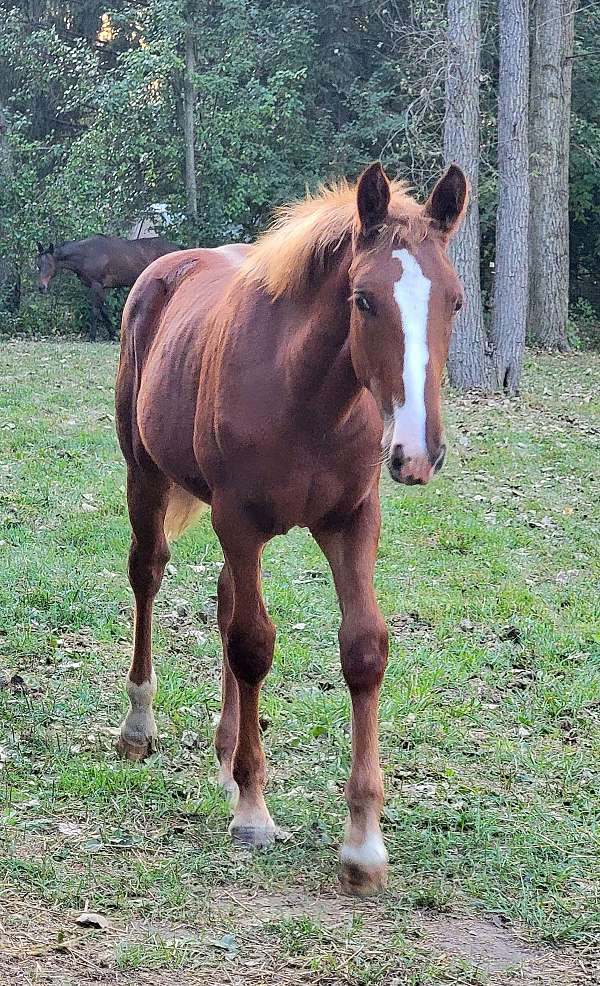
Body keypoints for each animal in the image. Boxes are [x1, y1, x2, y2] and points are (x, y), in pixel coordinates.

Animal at [35, 234, 179, 338]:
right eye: (38, 265)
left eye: (49, 264)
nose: (41, 287)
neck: (86, 254)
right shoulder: (99, 288)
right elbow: (104, 311)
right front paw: (112, 334)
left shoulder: (96, 285)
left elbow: (95, 311)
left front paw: (92, 336)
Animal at [113, 161, 468, 892]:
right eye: (363, 300)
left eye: (454, 301)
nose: (417, 454)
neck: (306, 399)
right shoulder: (239, 518)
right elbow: (253, 644)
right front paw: (253, 810)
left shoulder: (352, 522)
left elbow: (363, 648)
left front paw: (363, 842)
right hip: (145, 475)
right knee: (148, 574)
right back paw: (139, 726)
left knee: (223, 599)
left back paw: (225, 755)